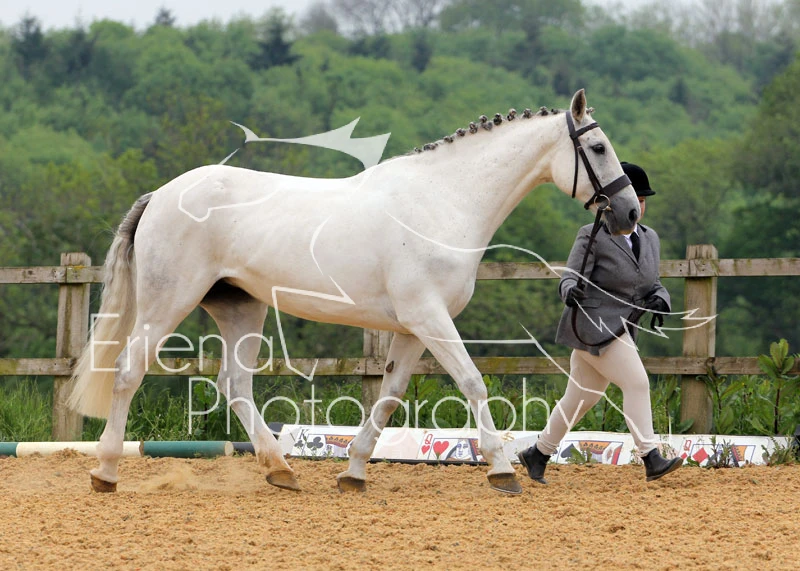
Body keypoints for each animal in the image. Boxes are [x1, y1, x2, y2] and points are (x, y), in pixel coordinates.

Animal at [68, 89, 639, 495]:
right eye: (597, 148)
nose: (630, 213)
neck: (444, 202)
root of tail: (162, 194)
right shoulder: (430, 317)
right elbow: (473, 383)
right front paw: (502, 470)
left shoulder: (412, 328)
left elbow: (387, 398)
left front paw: (354, 472)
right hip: (169, 301)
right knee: (128, 371)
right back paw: (106, 472)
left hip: (240, 309)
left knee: (235, 385)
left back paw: (281, 470)